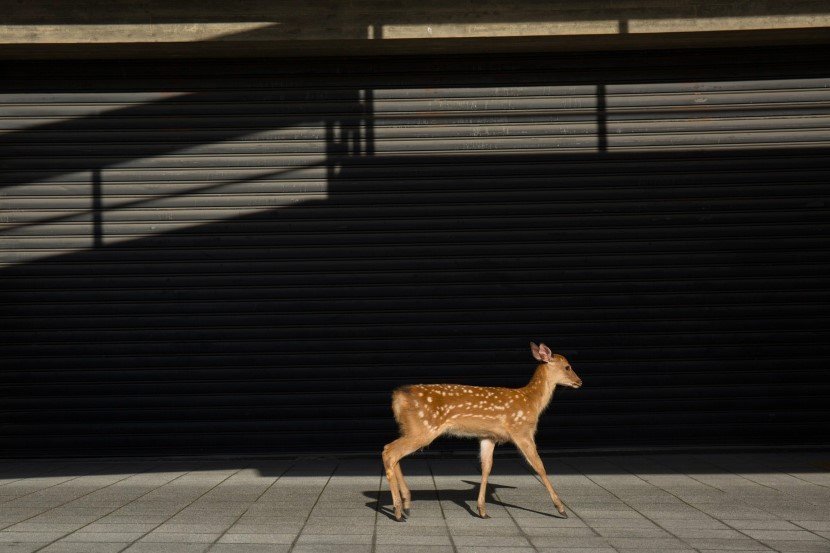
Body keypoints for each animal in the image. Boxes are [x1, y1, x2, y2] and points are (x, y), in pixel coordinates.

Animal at [380, 342, 580, 520]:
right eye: (567, 366)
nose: (580, 381)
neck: (532, 402)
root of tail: (398, 398)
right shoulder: (522, 431)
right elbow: (539, 466)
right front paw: (561, 508)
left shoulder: (488, 436)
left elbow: (486, 467)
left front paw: (482, 510)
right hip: (423, 428)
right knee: (389, 451)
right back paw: (398, 510)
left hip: (410, 428)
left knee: (394, 455)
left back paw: (406, 504)